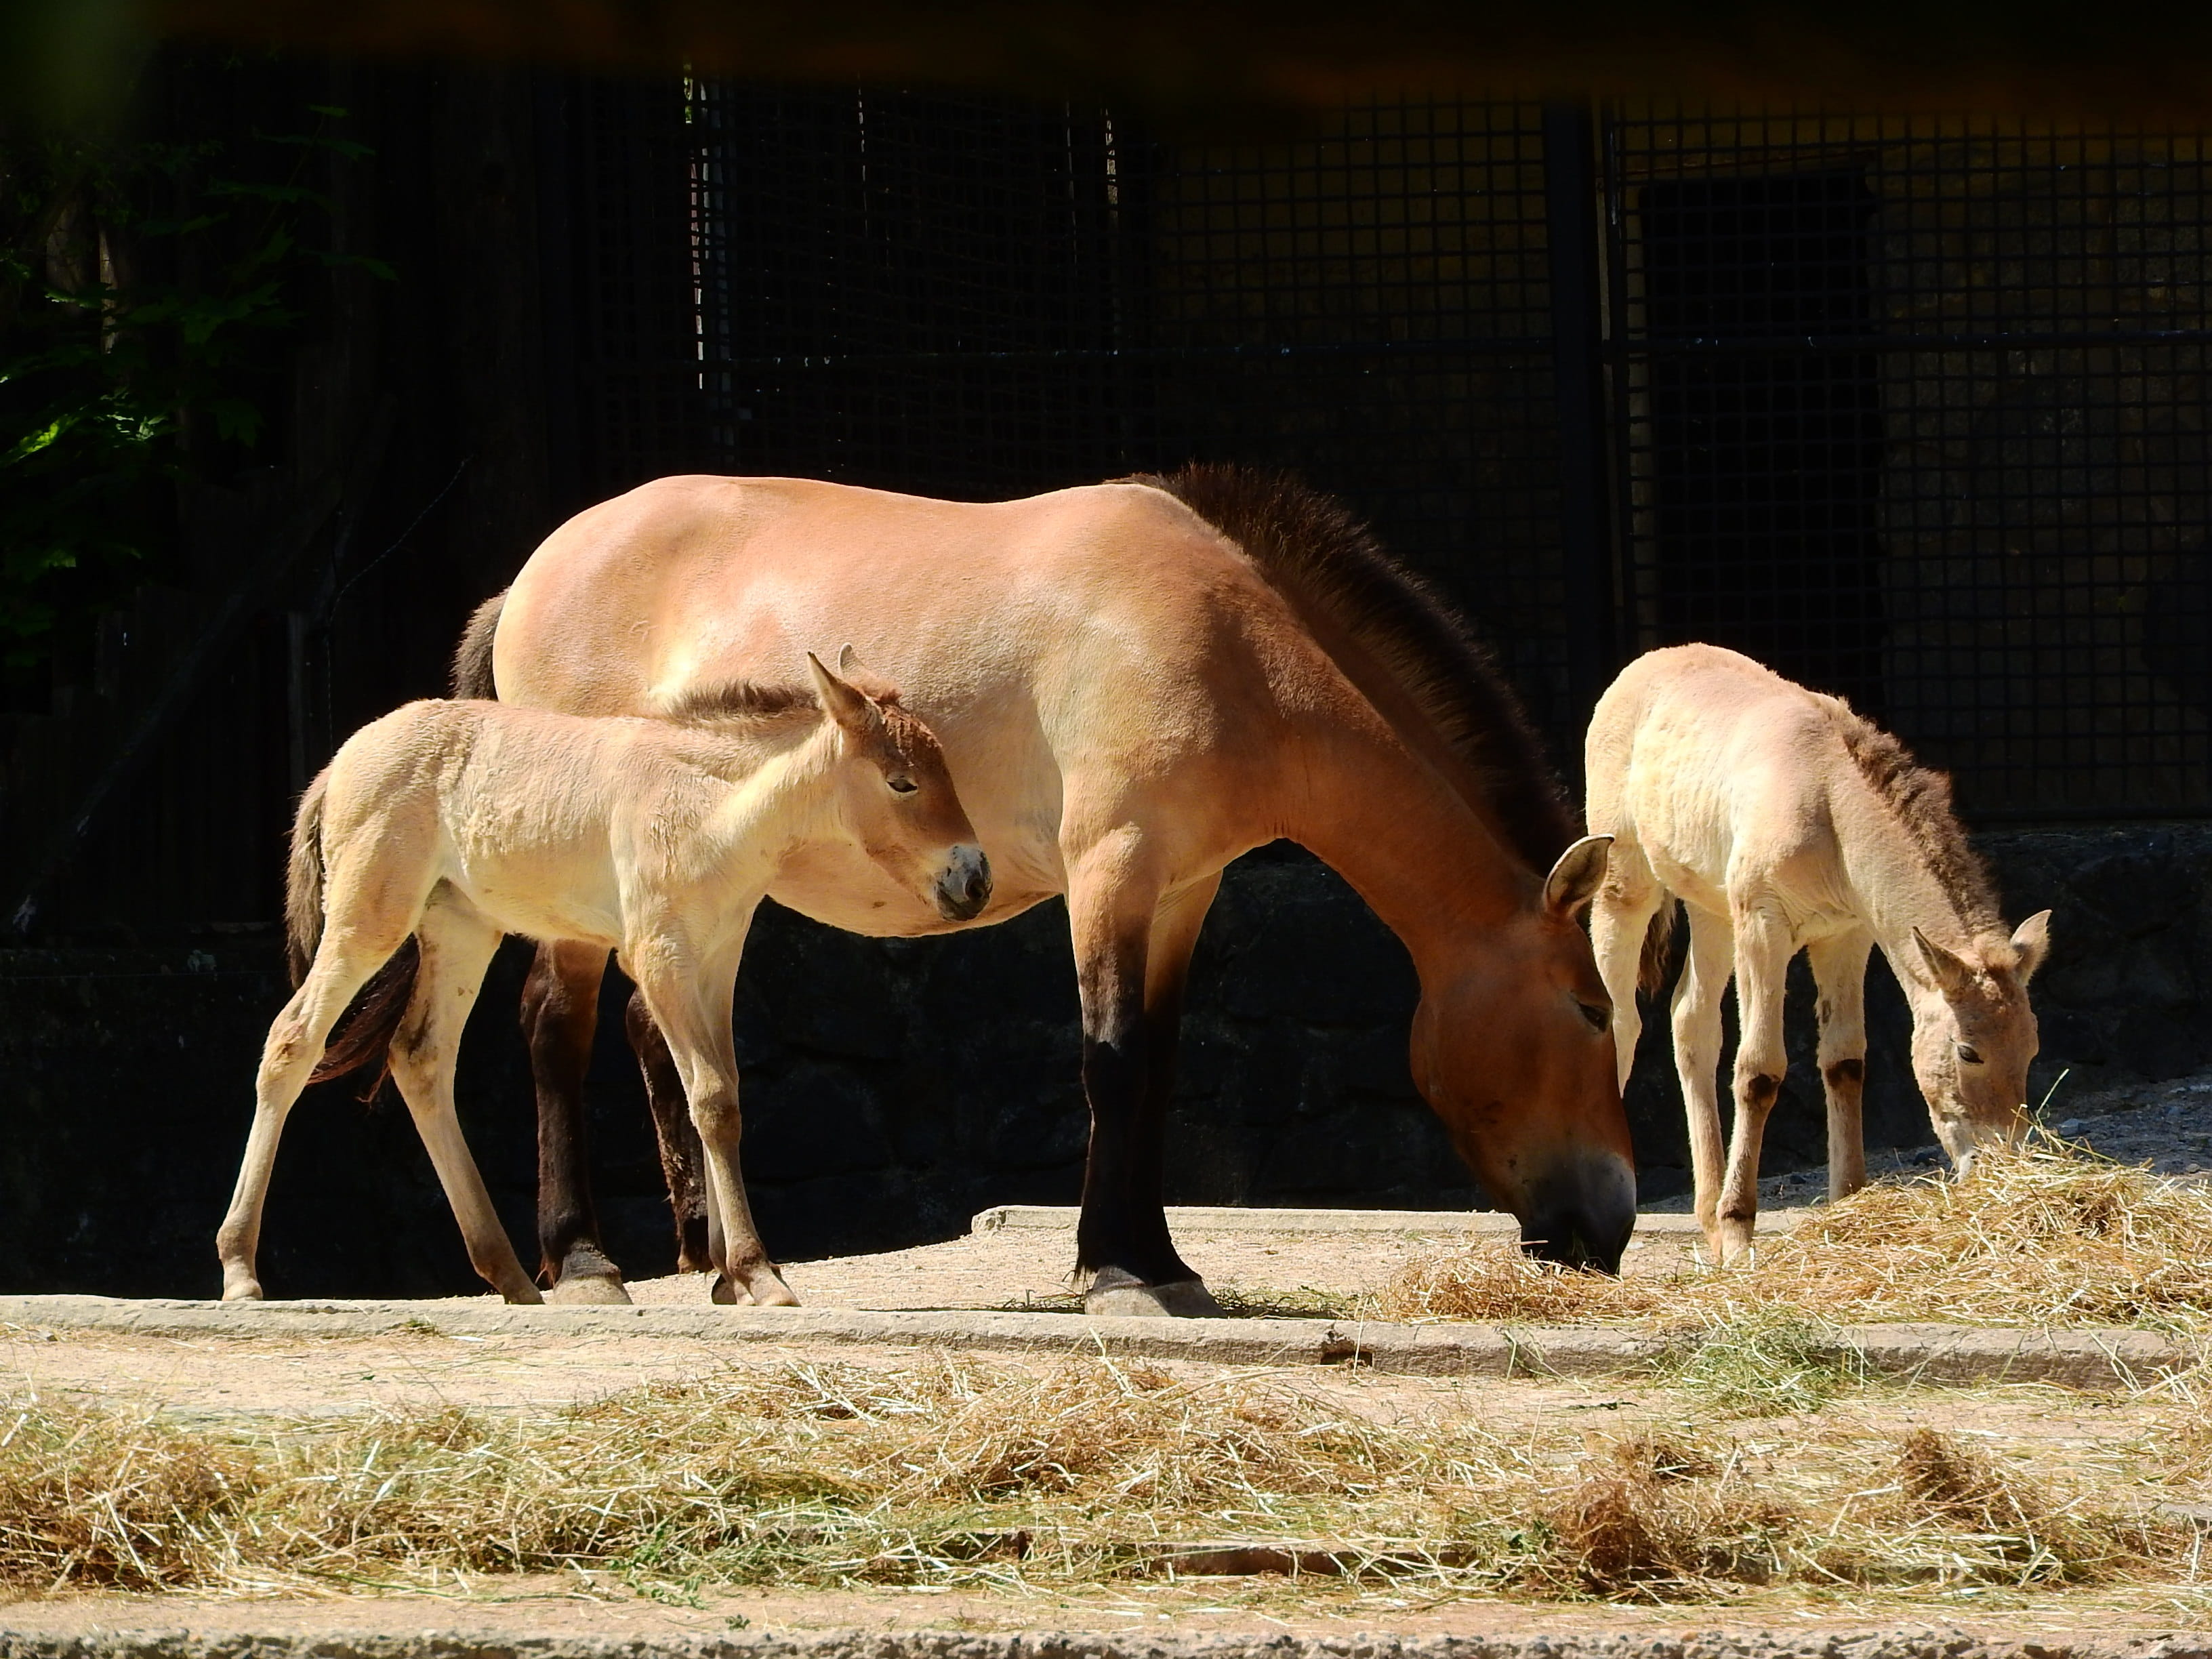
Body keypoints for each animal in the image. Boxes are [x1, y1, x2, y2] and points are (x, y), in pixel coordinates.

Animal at [214, 653, 987, 1304]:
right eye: (902, 781)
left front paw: (728, 1275)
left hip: (461, 931)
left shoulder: (716, 960)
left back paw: (511, 1276)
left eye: (947, 769)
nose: (973, 879)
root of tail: (338, 763)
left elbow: (724, 1093)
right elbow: (712, 1099)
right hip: (367, 919)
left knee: (421, 1058)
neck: (707, 806)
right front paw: (757, 1274)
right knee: (292, 1042)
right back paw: (241, 1271)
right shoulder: (659, 956)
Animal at [451, 464, 1634, 1314]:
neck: (1233, 648)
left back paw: (709, 1256)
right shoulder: (1112, 865)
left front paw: (1162, 1262)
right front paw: (1113, 1274)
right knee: (556, 1027)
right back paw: (584, 1261)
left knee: (653, 1033)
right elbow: (1110, 1062)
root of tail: (529, 578)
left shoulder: (1184, 890)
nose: (1612, 1225)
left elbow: (1155, 1068)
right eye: (1590, 1010)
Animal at [1584, 644, 2051, 1264]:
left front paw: (1847, 1199)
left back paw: (1707, 1220)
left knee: (1691, 1021)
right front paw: (1739, 1233)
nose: (2002, 1165)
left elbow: (1845, 1061)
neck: (1828, 797)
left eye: (2032, 1048)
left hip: (1713, 911)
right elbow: (1760, 1069)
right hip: (1627, 887)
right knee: (1620, 1021)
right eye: (1968, 1051)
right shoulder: (1764, 925)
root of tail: (1643, 666)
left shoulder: (1845, 935)